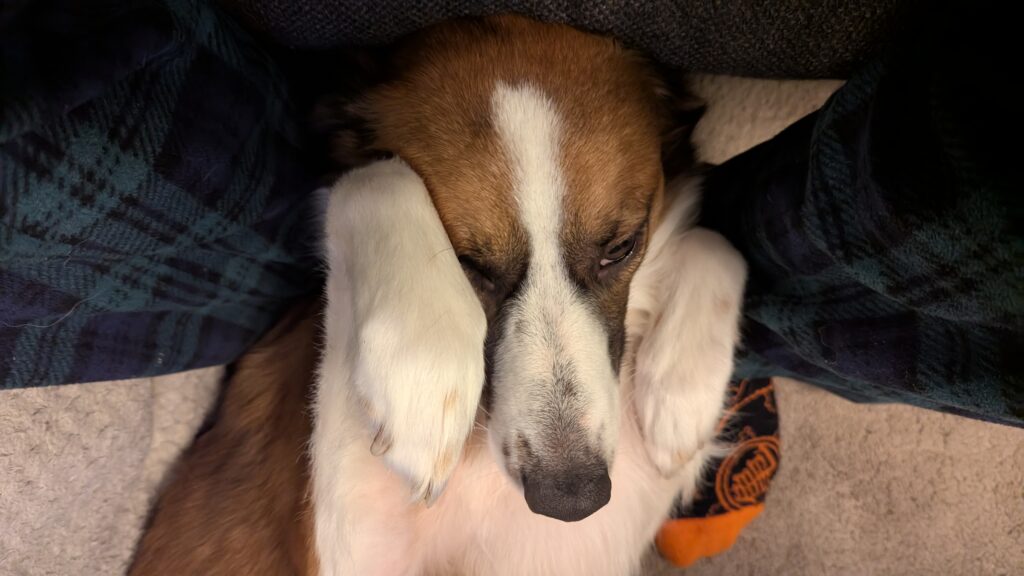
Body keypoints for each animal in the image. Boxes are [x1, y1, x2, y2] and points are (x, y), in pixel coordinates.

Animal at [132, 13, 749, 573]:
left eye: (621, 246)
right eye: (467, 264)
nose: (572, 498)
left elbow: (721, 241)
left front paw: (682, 384)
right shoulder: (349, 540)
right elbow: (372, 177)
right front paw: (423, 371)